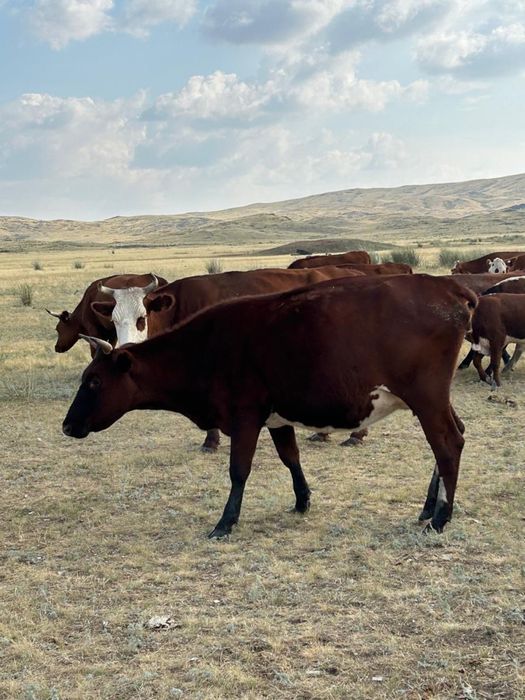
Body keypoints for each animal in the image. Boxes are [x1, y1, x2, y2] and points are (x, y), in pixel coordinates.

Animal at [63, 274, 476, 538]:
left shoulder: (245, 418)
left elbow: (238, 471)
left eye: (94, 381)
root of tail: (449, 287)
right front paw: (302, 500)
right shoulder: (278, 418)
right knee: (453, 437)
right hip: (433, 399)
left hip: (426, 397)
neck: (205, 348)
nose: (67, 425)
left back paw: (441, 518)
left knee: (448, 444)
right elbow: (290, 457)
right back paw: (429, 508)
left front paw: (225, 522)